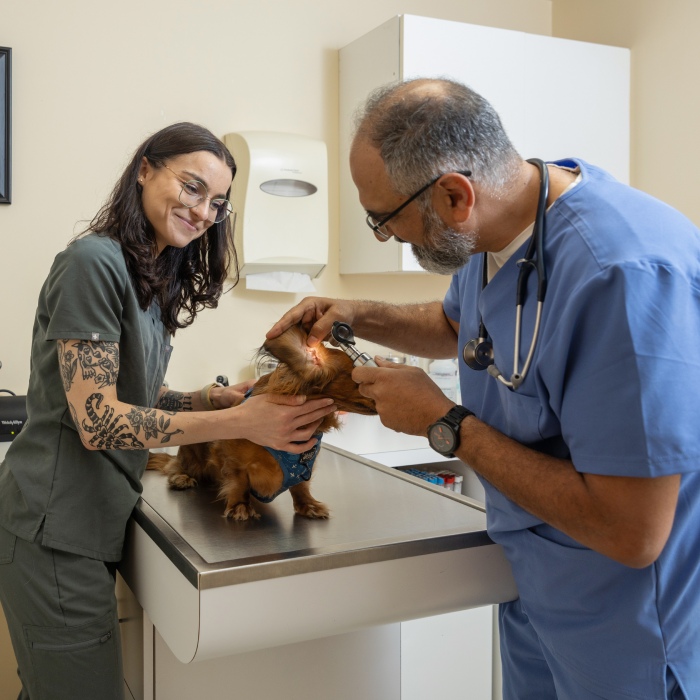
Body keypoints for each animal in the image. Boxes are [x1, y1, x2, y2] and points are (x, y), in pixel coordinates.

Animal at [147, 326, 378, 520]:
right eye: (359, 374)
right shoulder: (232, 458)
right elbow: (239, 481)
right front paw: (240, 505)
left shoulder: (304, 468)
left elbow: (301, 487)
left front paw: (308, 505)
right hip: (191, 452)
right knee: (176, 466)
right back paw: (181, 477)